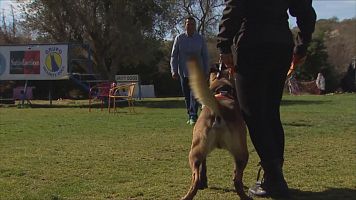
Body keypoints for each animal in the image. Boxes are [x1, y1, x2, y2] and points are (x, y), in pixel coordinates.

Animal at [181, 59, 250, 200]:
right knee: (237, 180)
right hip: (242, 152)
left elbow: (203, 167)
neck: (222, 90)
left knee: (195, 178)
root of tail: (220, 108)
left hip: (195, 152)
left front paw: (204, 182)